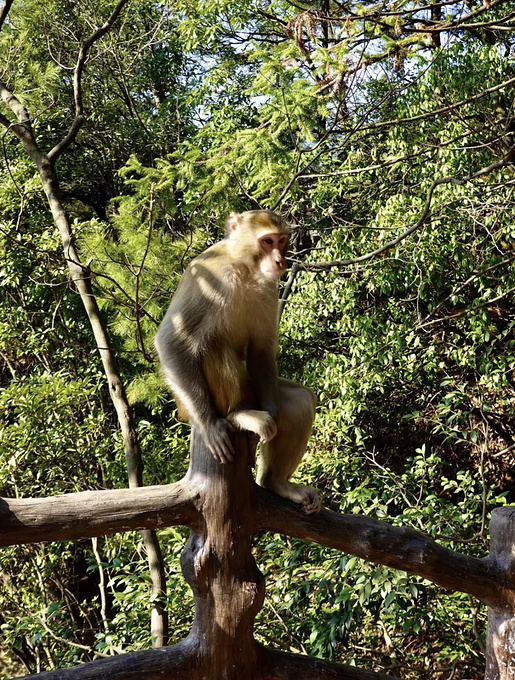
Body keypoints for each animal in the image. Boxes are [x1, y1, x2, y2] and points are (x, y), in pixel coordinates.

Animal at [155, 210, 320, 512]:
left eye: (281, 241)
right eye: (267, 241)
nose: (280, 261)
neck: (244, 268)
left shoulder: (268, 286)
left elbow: (261, 351)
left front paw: (273, 417)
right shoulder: (208, 276)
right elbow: (171, 340)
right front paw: (211, 425)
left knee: (300, 400)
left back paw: (277, 483)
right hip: (193, 405)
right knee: (213, 345)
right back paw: (237, 415)